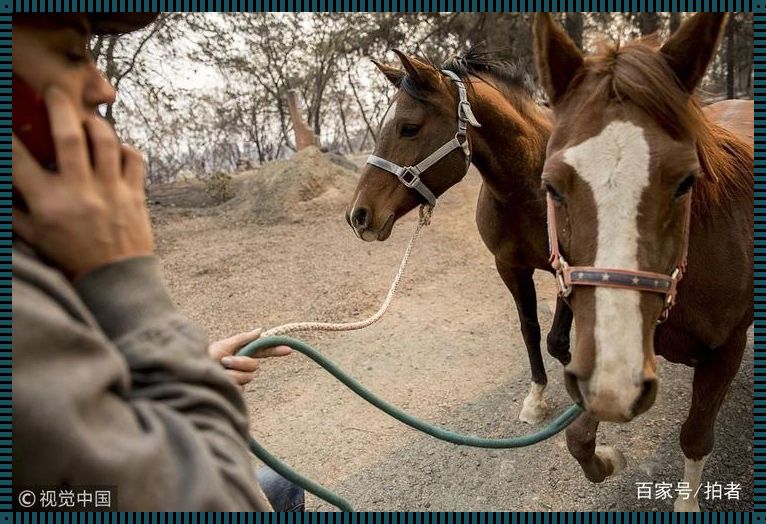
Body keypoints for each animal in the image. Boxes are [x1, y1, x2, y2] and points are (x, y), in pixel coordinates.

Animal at [348, 49, 576, 426]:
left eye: (409, 128)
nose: (358, 215)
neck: (531, 190)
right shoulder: (510, 267)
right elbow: (530, 329)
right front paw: (536, 398)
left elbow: (558, 340)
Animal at [536, 13, 752, 512]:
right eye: (552, 187)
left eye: (686, 181)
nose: (615, 384)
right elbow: (577, 438)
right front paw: (610, 459)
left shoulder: (726, 350)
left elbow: (695, 437)